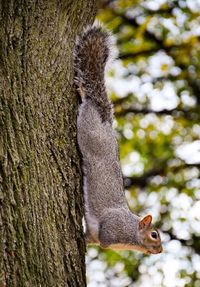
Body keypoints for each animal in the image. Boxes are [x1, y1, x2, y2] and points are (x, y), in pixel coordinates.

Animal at [73, 24, 162, 254]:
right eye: (154, 234)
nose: (160, 250)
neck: (130, 235)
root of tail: (105, 122)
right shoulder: (111, 227)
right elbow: (104, 237)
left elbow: (91, 238)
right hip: (87, 131)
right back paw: (84, 91)